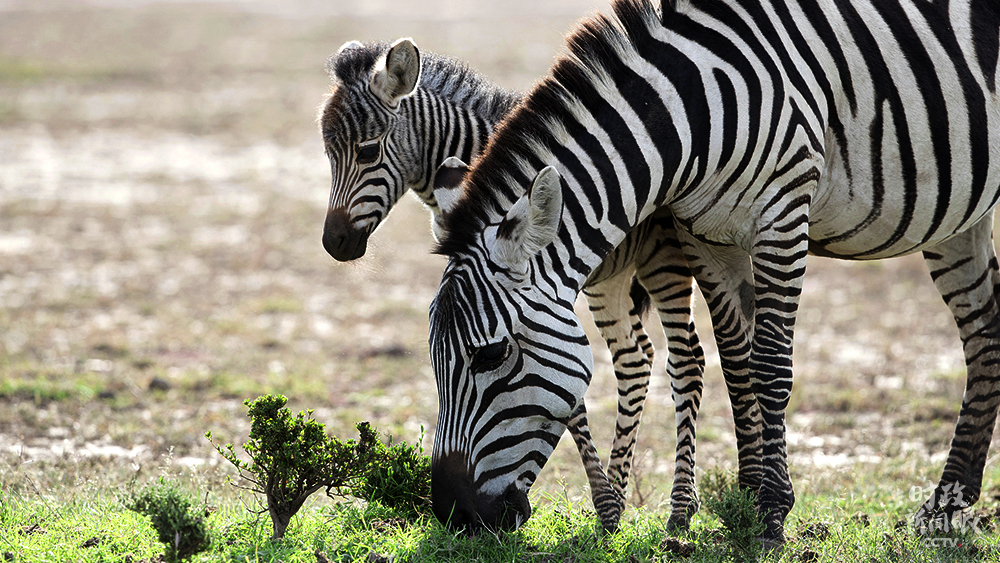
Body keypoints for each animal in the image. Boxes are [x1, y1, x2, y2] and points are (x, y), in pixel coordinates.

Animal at [316, 38, 716, 528]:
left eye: (368, 152)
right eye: (329, 154)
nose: (335, 244)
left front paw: (602, 502)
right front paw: (605, 504)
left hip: (663, 260)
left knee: (687, 360)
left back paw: (680, 508)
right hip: (612, 280)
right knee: (635, 359)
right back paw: (624, 495)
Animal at [428, 0, 1000, 548]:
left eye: (490, 355)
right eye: (434, 360)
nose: (452, 515)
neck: (690, 113)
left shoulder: (783, 214)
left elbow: (770, 364)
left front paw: (771, 511)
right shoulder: (702, 234)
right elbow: (737, 360)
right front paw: (747, 495)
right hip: (959, 214)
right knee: (983, 333)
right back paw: (948, 503)